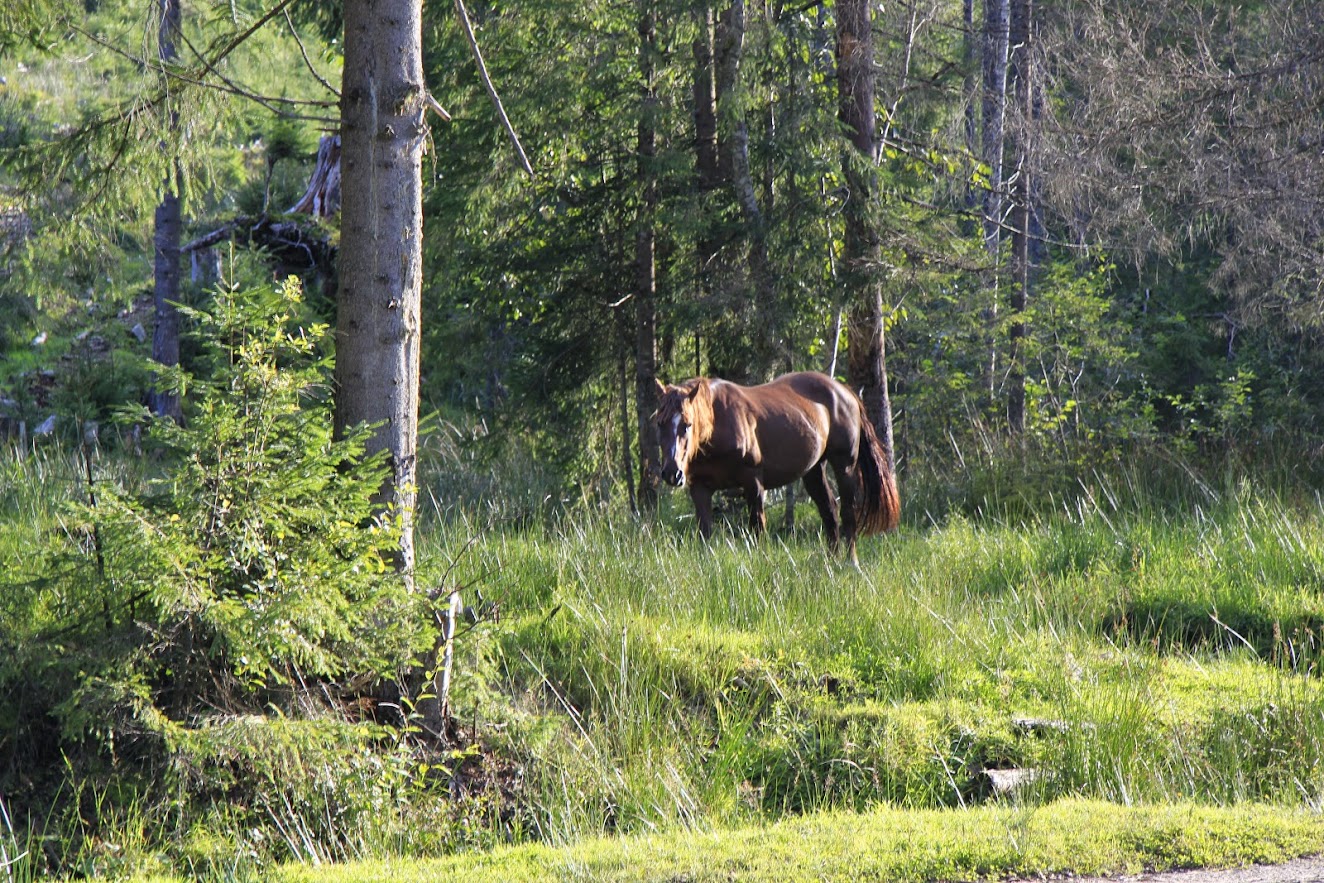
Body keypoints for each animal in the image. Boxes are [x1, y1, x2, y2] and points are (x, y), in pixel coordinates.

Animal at [654, 370, 900, 563]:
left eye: (687, 425)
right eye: (660, 423)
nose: (672, 473)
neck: (718, 425)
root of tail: (845, 392)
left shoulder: (753, 482)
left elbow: (757, 528)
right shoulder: (700, 488)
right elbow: (705, 533)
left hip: (844, 465)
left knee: (848, 513)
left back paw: (851, 563)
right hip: (813, 471)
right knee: (829, 510)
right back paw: (832, 560)